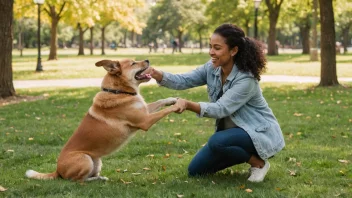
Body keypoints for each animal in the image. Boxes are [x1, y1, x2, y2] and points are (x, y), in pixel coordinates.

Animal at [25, 59, 177, 183]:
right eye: (133, 63)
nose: (147, 60)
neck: (118, 92)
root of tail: (57, 171)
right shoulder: (145, 121)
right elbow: (163, 111)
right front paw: (177, 105)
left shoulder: (144, 112)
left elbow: (159, 102)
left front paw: (172, 100)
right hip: (85, 159)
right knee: (77, 180)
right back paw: (95, 180)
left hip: (97, 161)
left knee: (86, 176)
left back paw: (100, 178)